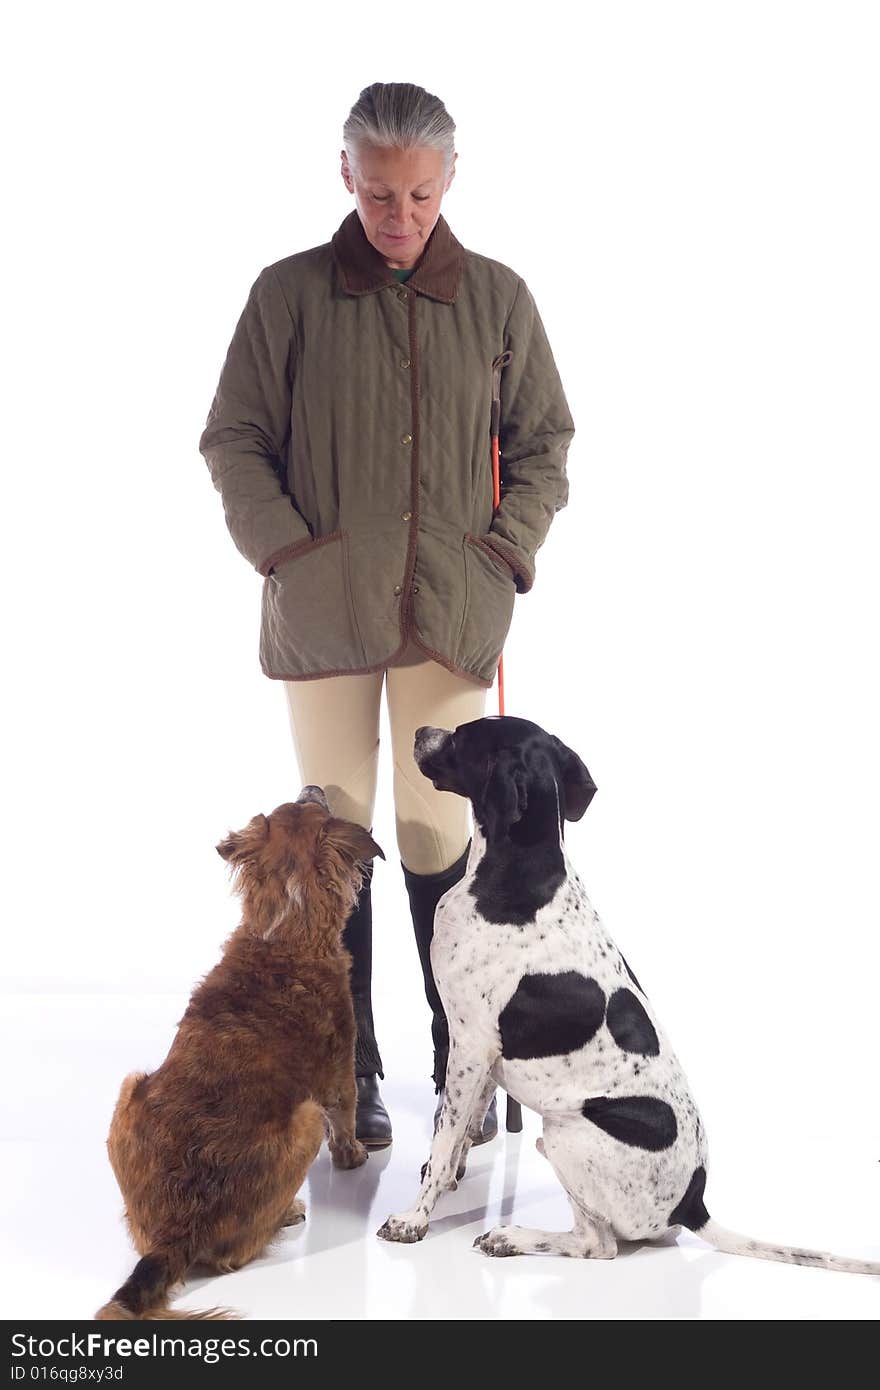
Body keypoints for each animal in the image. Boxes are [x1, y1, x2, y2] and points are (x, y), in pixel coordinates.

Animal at [96, 789, 383, 1317]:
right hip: (305, 1118)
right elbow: (346, 1116)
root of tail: (175, 1235)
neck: (285, 932)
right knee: (240, 1252)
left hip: (129, 1087)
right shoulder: (339, 1070)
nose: (312, 787)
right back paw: (290, 1211)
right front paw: (352, 1155)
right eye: (314, 808)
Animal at [378, 717, 878, 1273]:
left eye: (464, 735)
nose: (420, 731)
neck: (519, 870)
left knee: (598, 1244)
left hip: (564, 1132)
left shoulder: (469, 1044)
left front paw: (414, 1219)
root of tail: (693, 1204)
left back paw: (509, 1237)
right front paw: (444, 1178)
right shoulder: (482, 1055)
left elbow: (446, 1137)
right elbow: (457, 1135)